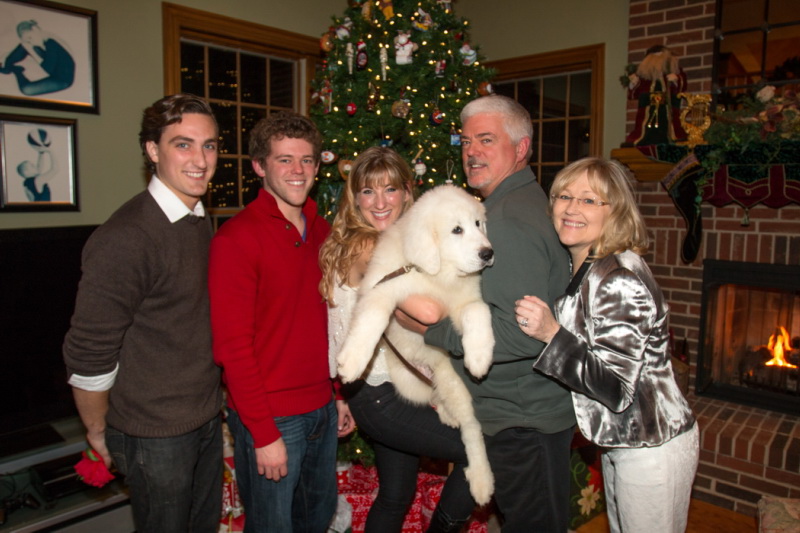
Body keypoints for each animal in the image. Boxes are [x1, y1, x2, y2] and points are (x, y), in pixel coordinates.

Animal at [337, 185, 495, 505]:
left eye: (477, 224)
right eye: (456, 229)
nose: (488, 253)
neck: (434, 276)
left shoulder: (466, 302)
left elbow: (478, 312)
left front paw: (480, 357)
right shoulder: (381, 288)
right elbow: (372, 319)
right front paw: (353, 362)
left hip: (455, 382)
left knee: (472, 429)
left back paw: (481, 479)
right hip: (410, 381)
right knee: (437, 398)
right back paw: (447, 414)